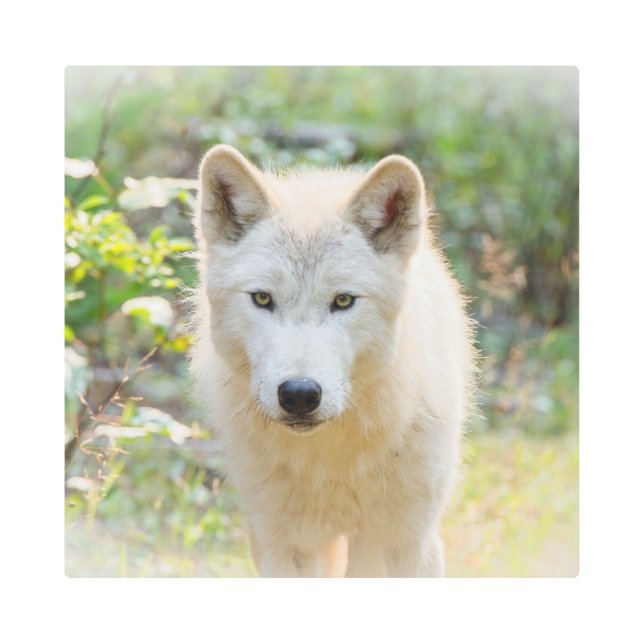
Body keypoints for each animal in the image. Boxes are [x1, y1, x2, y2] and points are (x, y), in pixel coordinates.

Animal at [189, 144, 475, 577]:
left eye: (343, 300)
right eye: (262, 298)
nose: (299, 395)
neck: (331, 457)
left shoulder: (408, 541)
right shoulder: (284, 547)